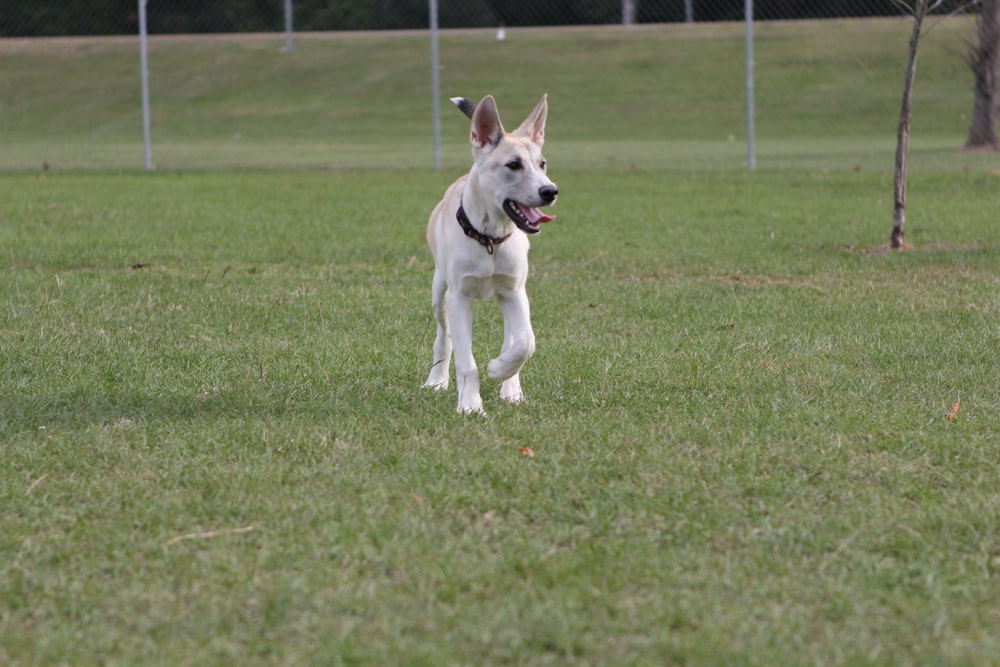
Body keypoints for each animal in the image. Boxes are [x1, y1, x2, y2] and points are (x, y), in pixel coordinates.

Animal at [422, 94, 560, 414]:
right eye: (513, 164)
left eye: (542, 164)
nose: (550, 191)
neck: (489, 240)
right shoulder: (459, 297)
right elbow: (466, 361)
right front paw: (470, 405)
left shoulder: (514, 291)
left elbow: (526, 342)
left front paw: (499, 370)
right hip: (439, 292)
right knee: (443, 337)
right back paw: (436, 381)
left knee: (515, 338)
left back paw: (511, 388)